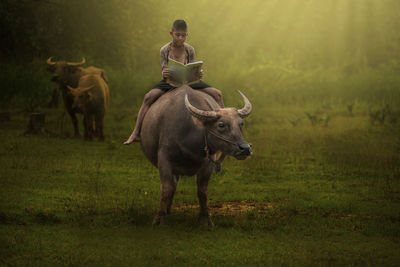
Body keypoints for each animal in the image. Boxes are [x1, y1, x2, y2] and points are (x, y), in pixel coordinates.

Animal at [141, 85, 252, 226]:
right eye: (221, 125)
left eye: (241, 124)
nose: (245, 148)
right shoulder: (164, 158)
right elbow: (166, 188)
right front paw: (159, 219)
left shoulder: (208, 163)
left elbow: (202, 190)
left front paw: (205, 219)